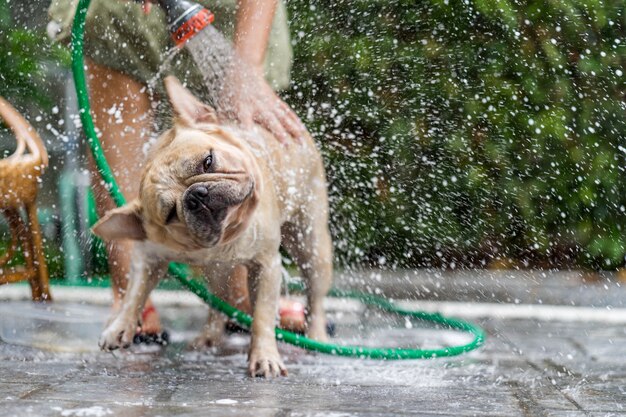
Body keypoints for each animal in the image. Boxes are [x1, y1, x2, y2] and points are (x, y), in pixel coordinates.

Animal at [92, 75, 332, 376]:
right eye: (170, 214)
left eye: (208, 161)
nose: (196, 195)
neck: (228, 235)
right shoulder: (148, 256)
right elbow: (134, 292)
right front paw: (120, 327)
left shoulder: (266, 266)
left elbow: (263, 317)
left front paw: (264, 357)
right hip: (216, 272)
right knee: (218, 301)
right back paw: (208, 336)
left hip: (312, 247)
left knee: (315, 298)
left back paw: (316, 338)